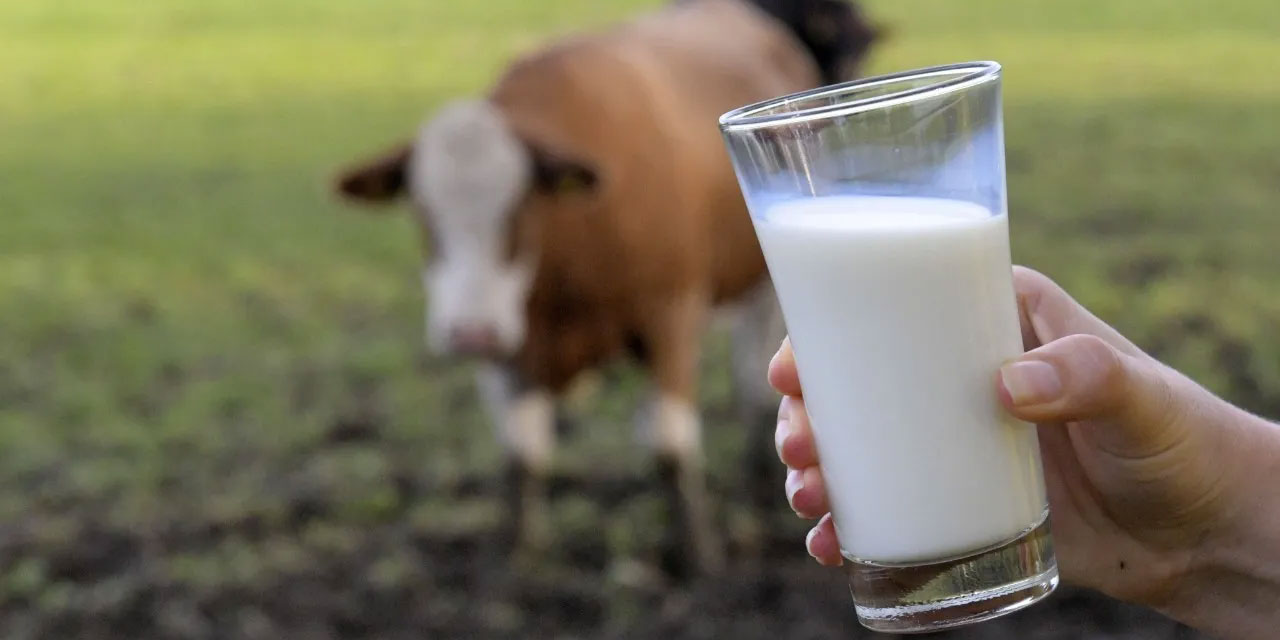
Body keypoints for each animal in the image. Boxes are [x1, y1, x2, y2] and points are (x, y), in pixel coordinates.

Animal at [332, 0, 880, 573]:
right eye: (422, 212)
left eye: (518, 208)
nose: (469, 333)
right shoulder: (513, 350)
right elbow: (522, 458)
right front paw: (520, 558)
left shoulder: (669, 315)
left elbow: (670, 446)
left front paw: (697, 554)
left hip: (753, 291)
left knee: (750, 380)